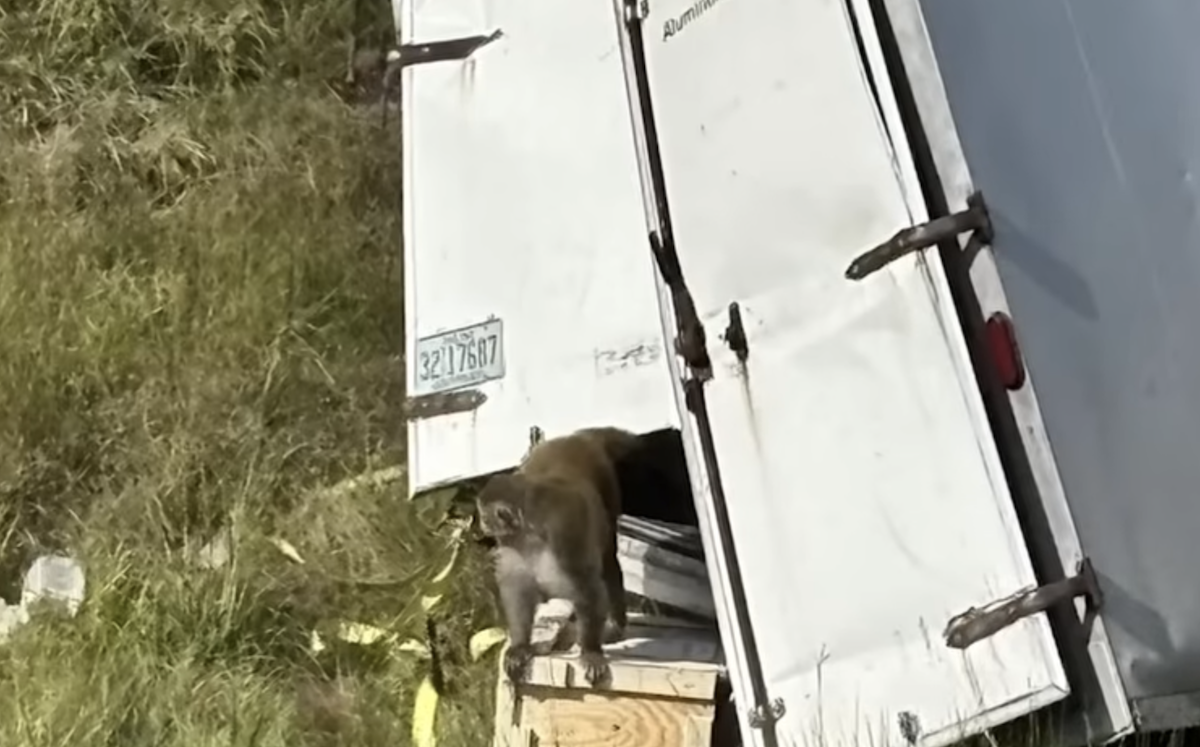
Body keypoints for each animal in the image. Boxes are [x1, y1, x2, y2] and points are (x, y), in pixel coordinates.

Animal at [476, 426, 642, 688]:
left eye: (484, 516)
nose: (481, 525)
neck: (530, 532)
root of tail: (575, 438)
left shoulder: (563, 532)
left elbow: (587, 586)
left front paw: (590, 651)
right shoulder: (513, 545)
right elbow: (518, 589)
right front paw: (520, 645)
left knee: (607, 562)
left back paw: (614, 625)